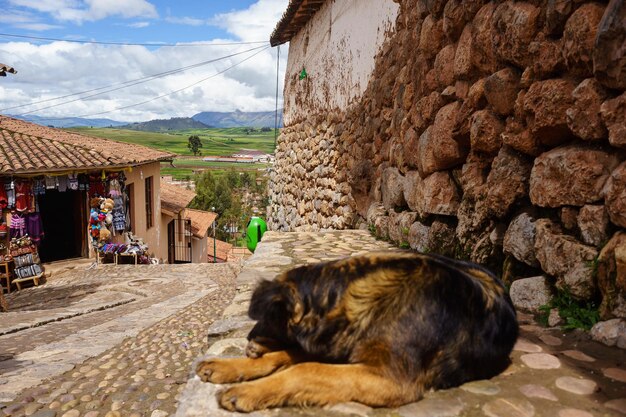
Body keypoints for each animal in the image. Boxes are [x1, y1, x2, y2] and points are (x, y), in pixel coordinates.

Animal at [196, 250, 516, 410]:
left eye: (266, 317)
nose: (248, 338)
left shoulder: (389, 379)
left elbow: (304, 370)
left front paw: (249, 390)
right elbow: (294, 361)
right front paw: (236, 368)